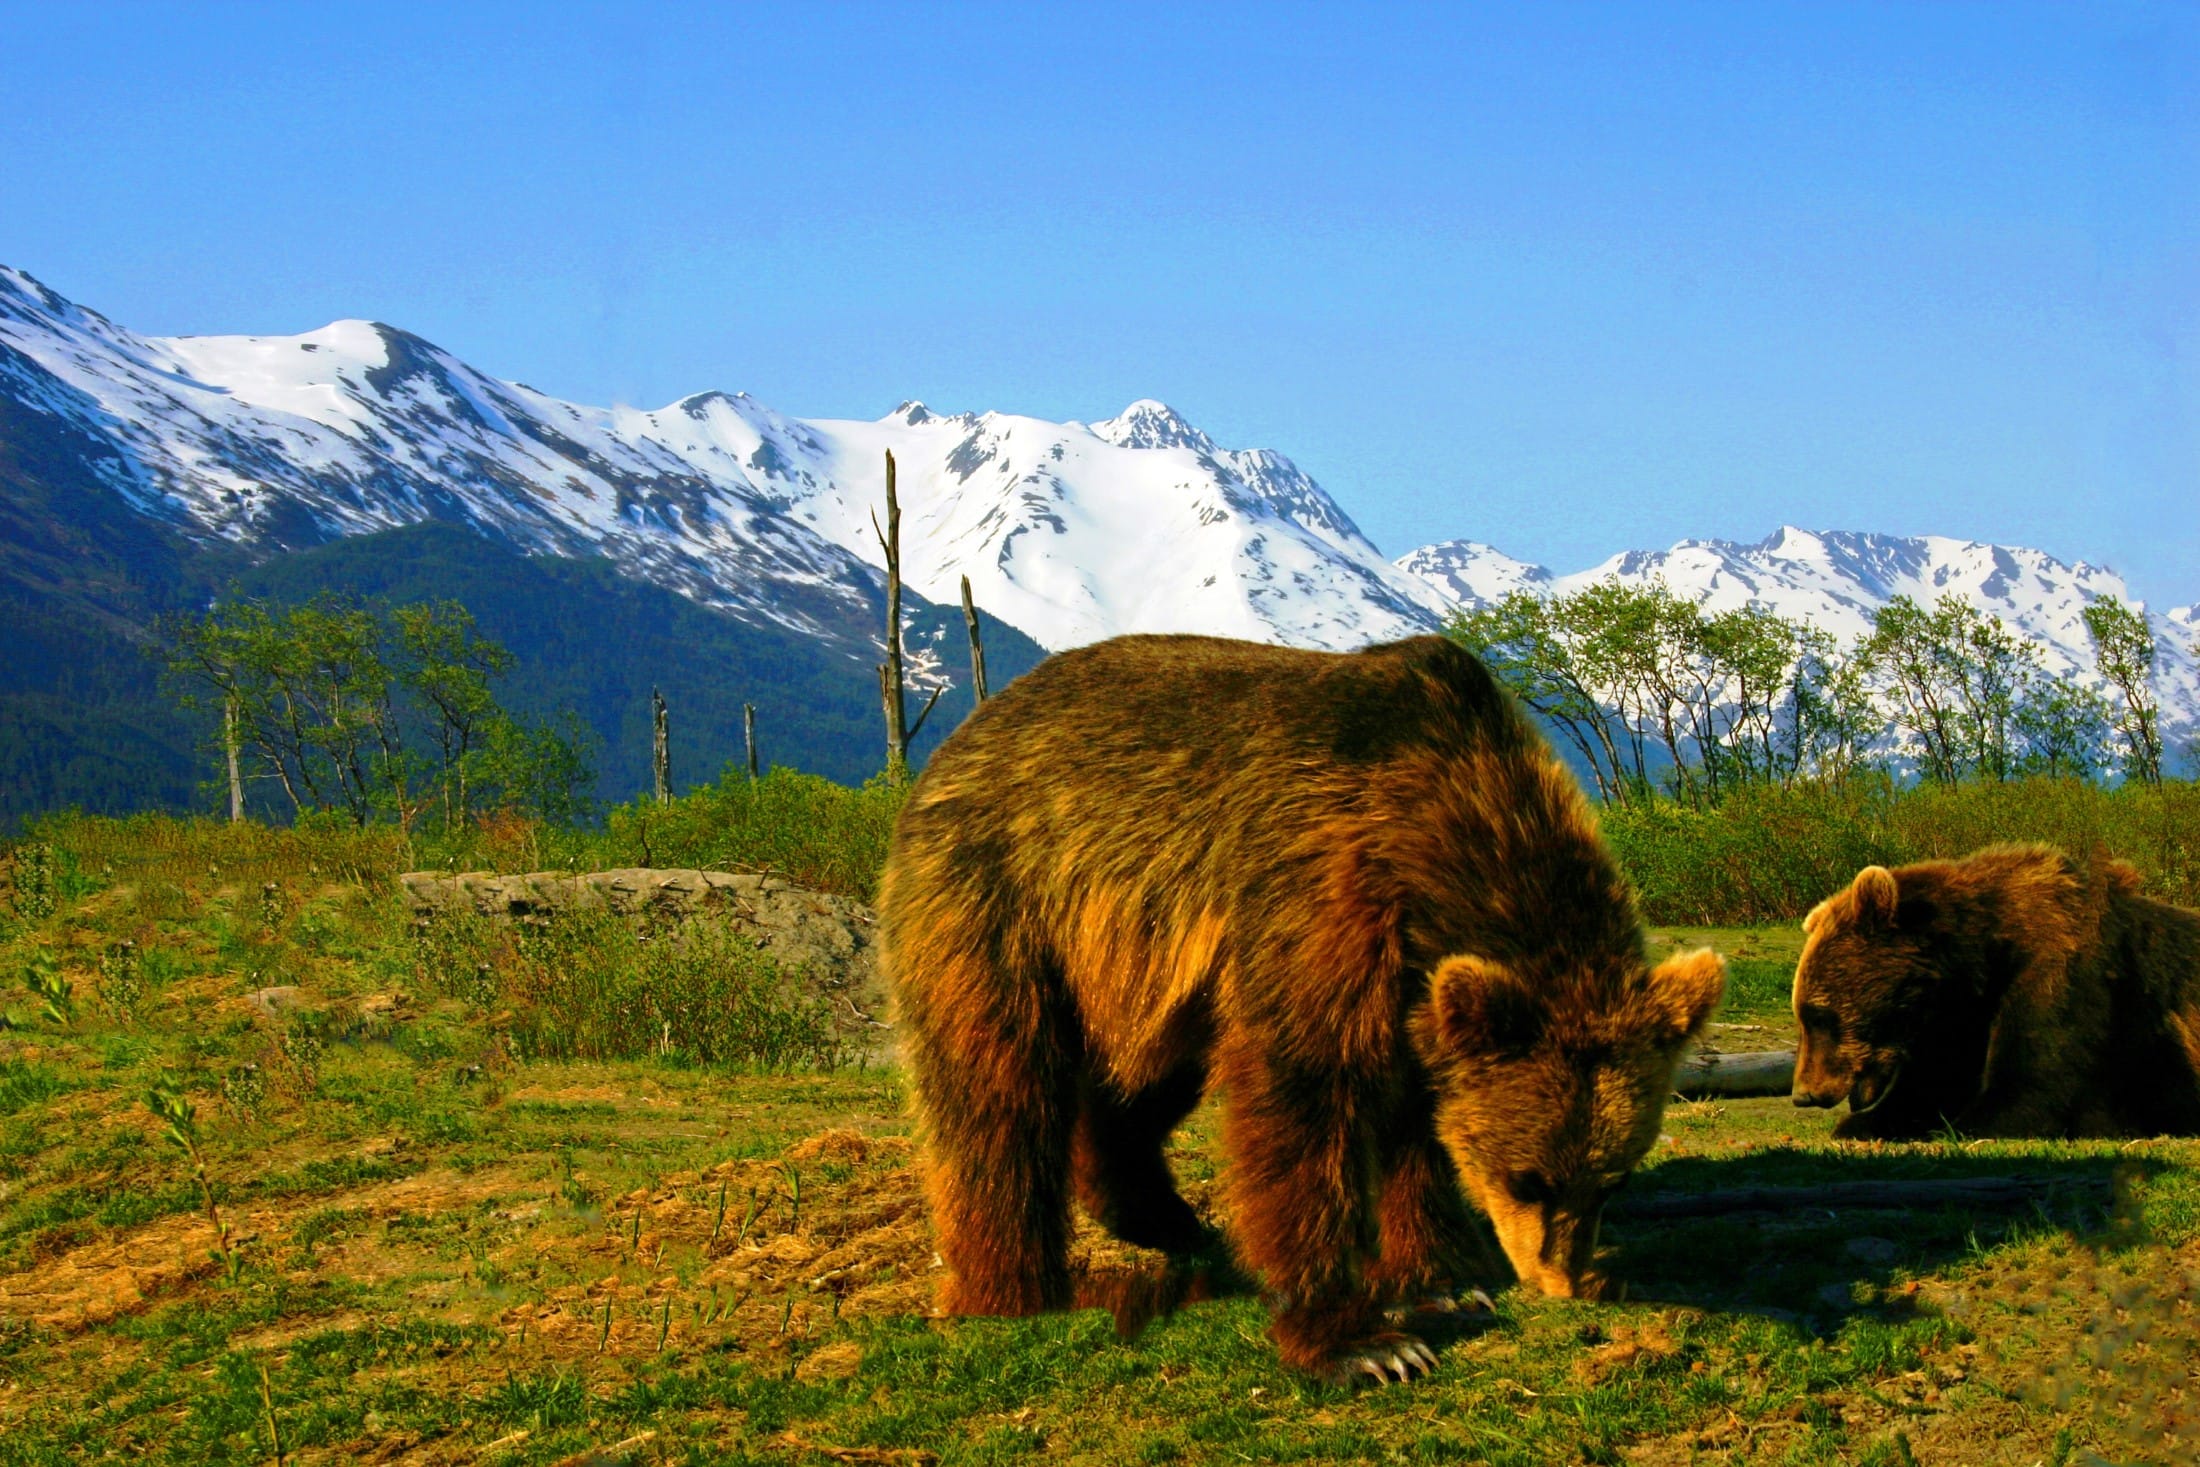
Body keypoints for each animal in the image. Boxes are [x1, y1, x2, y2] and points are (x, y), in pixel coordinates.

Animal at [877, 633, 1725, 1382]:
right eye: (1527, 1178)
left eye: (1611, 1178)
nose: (1561, 1282)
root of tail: (956, 741)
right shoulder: (1319, 888)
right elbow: (1305, 1095)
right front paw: (1365, 1342)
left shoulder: (1413, 991)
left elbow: (1417, 1125)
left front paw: (1442, 1277)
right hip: (1000, 895)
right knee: (999, 1092)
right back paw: (1013, 1288)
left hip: (1143, 972)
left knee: (1140, 1083)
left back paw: (1165, 1216)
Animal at [1790, 843, 2200, 1140]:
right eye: (1804, 1016)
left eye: (1820, 1015)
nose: (1804, 1093)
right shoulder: (1959, 1018)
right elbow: (1932, 1082)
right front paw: (1865, 1123)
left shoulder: (2061, 978)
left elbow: (2035, 1088)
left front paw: (1964, 1124)